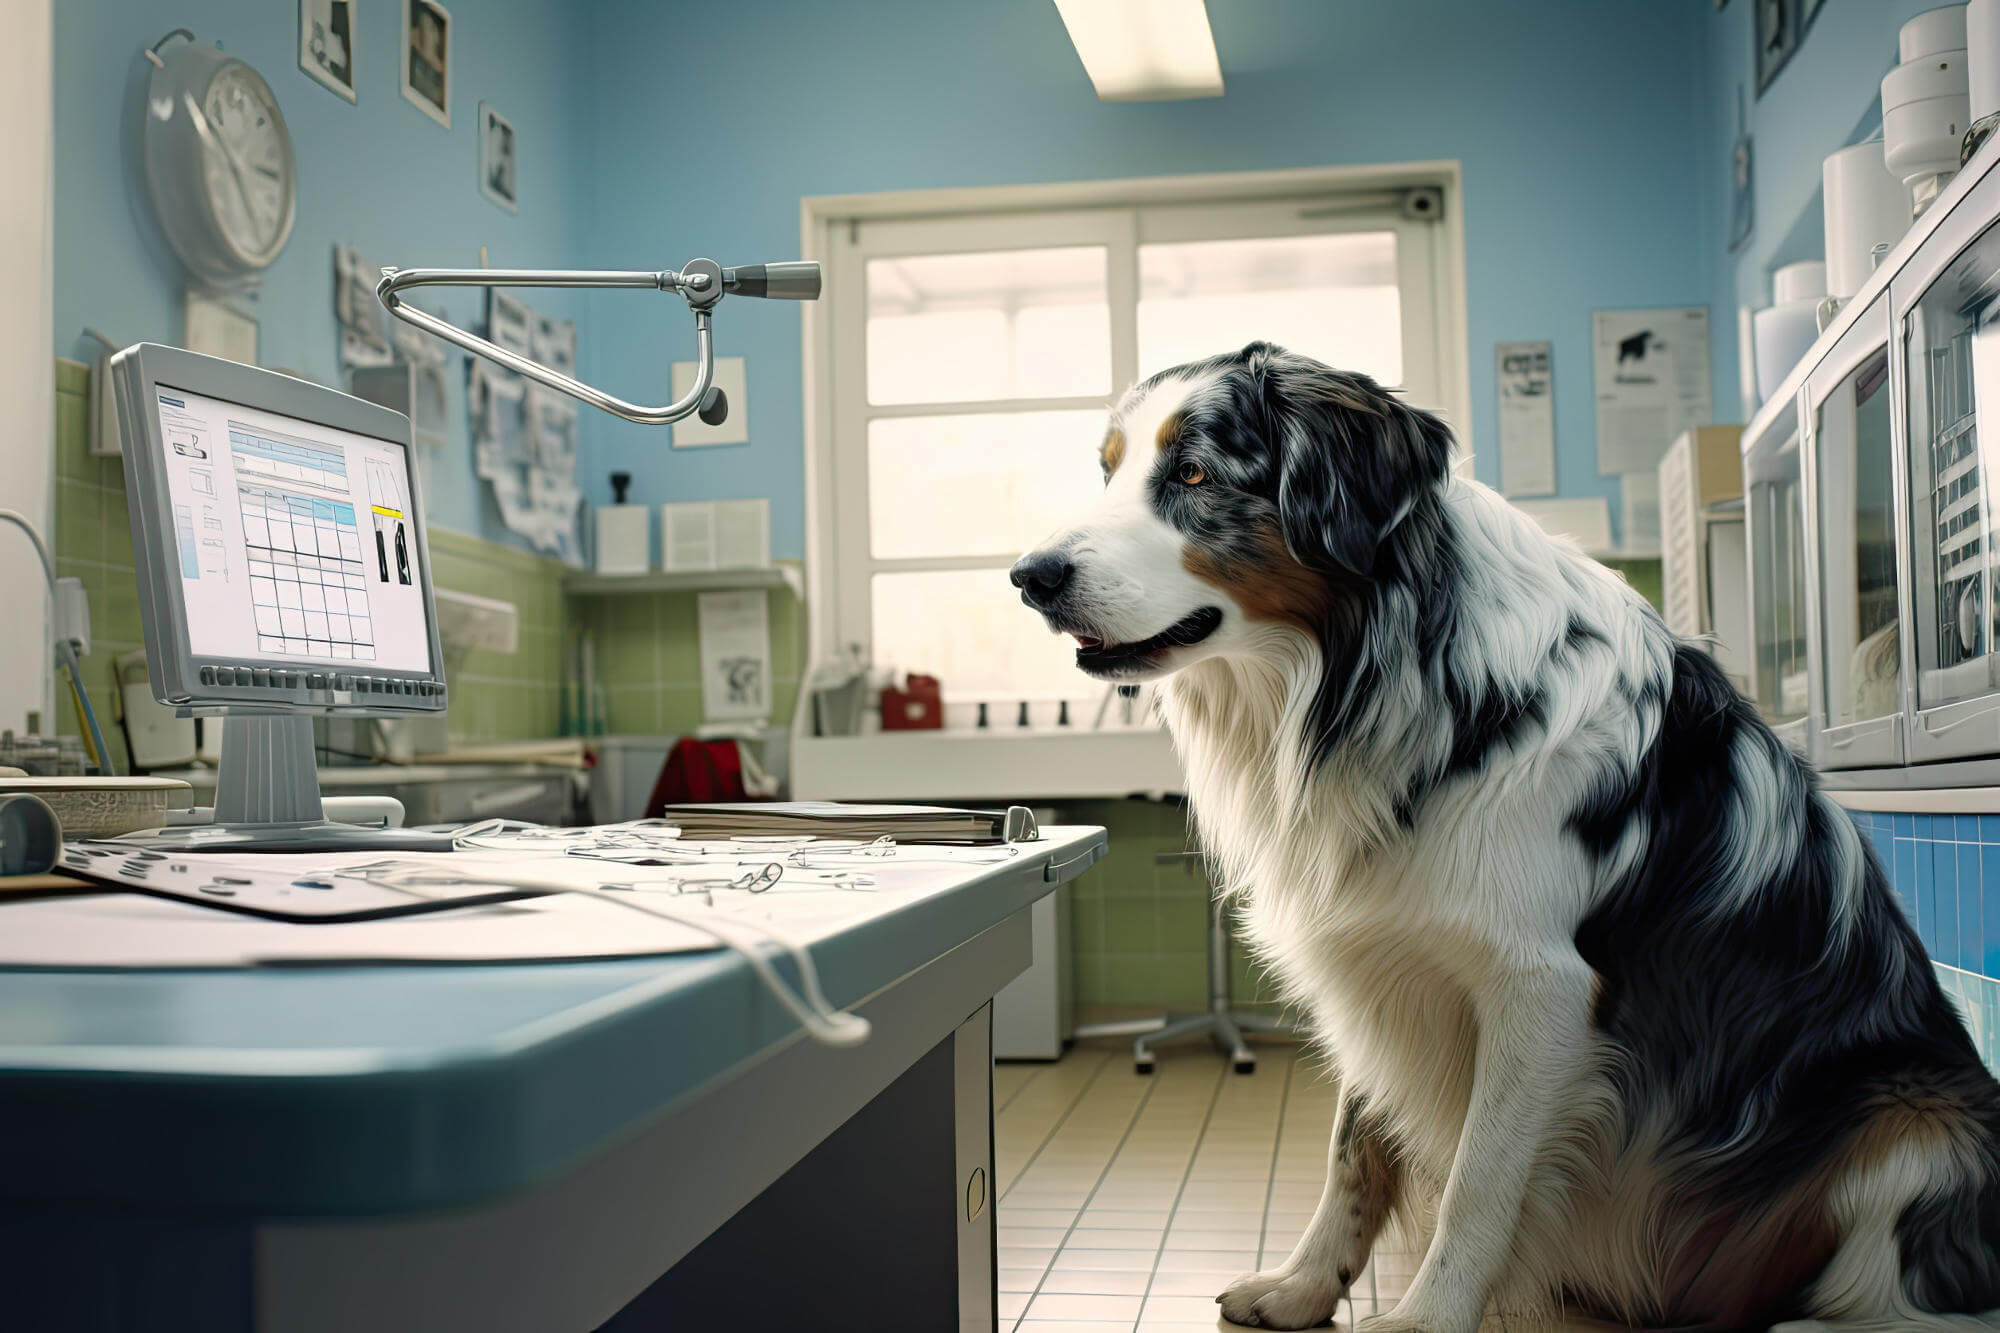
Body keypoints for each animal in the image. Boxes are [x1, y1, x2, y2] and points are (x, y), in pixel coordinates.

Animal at [1016, 344, 2000, 1328]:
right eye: (1107, 471)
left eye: (1193, 473)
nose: (1030, 576)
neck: (1382, 678)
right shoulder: (1377, 953)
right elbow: (1352, 1147)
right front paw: (1302, 1286)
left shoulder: (1540, 989)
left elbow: (1478, 1179)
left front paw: (1424, 1316)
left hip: (1920, 1117)